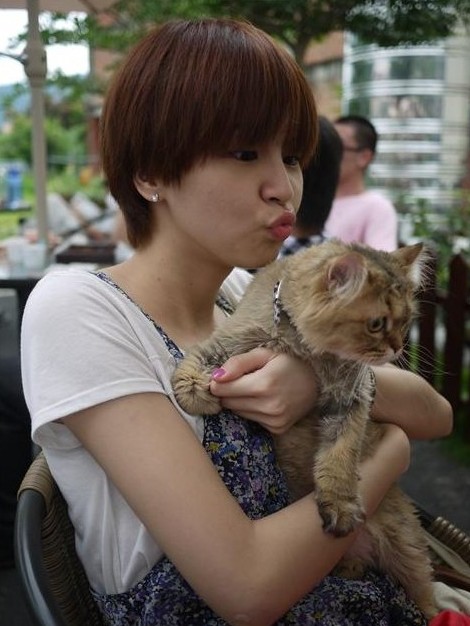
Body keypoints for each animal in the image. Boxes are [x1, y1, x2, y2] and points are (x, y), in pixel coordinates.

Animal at [172, 238, 436, 616]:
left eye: (405, 322)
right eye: (376, 324)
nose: (398, 347)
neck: (311, 352)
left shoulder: (352, 399)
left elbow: (340, 457)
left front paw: (339, 505)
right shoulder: (227, 342)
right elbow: (193, 364)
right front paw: (197, 393)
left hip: (407, 550)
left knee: (428, 600)